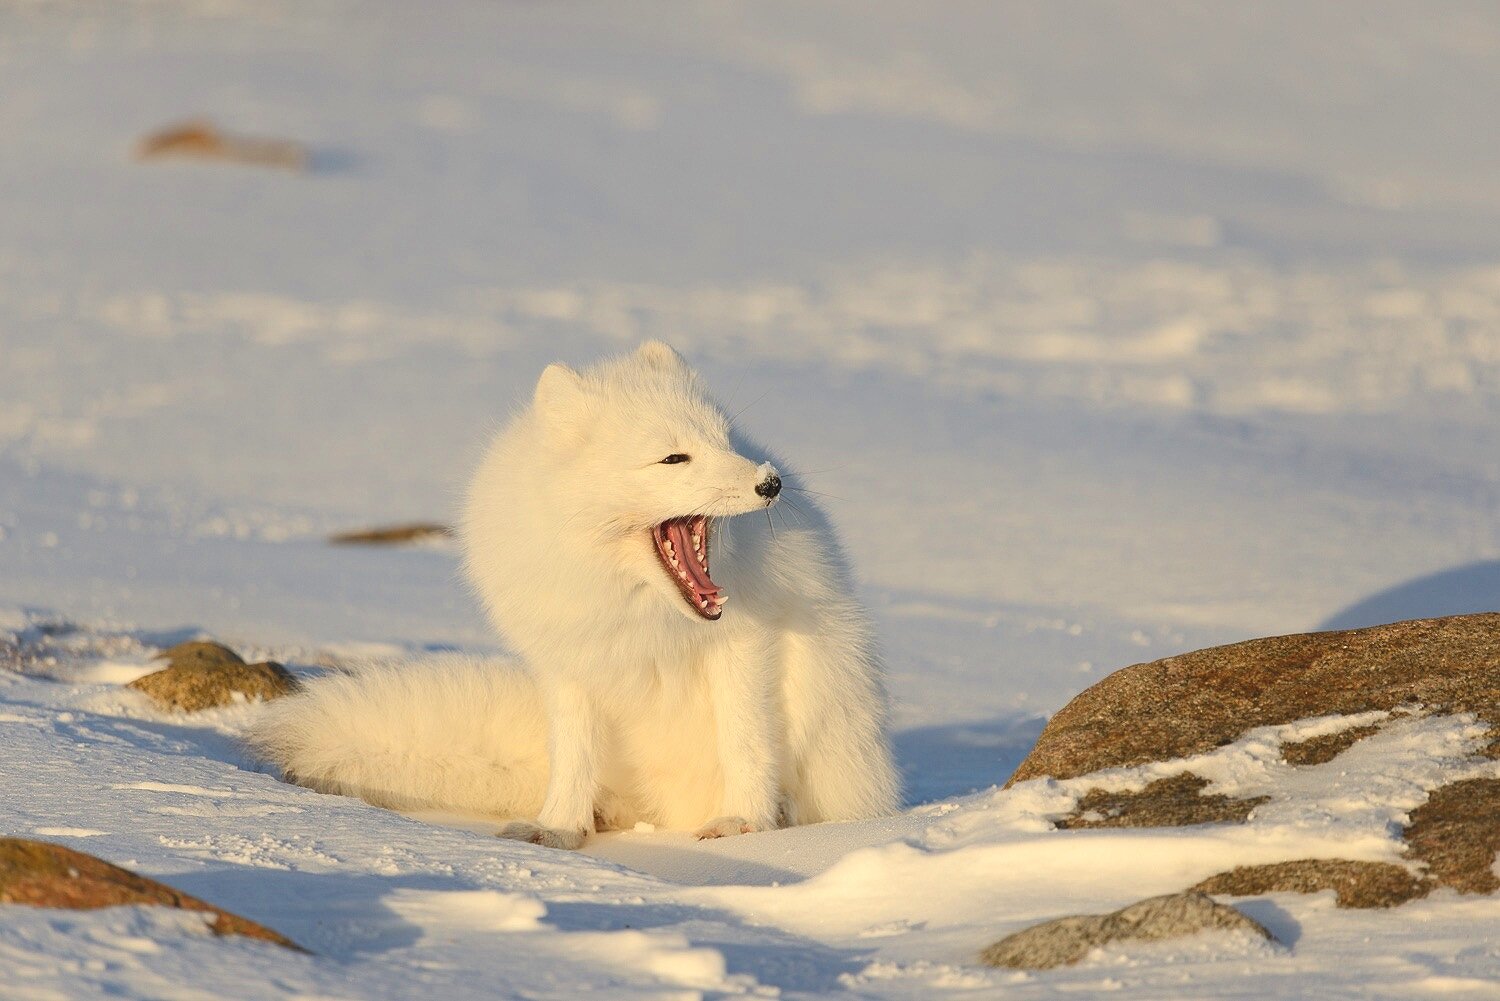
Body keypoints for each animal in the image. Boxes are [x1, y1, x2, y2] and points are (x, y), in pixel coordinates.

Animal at [249, 342, 900, 846]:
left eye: (725, 440)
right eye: (674, 457)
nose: (771, 483)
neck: (632, 608)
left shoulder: (745, 647)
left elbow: (746, 739)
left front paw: (745, 823)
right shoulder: (568, 662)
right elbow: (571, 755)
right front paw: (558, 828)